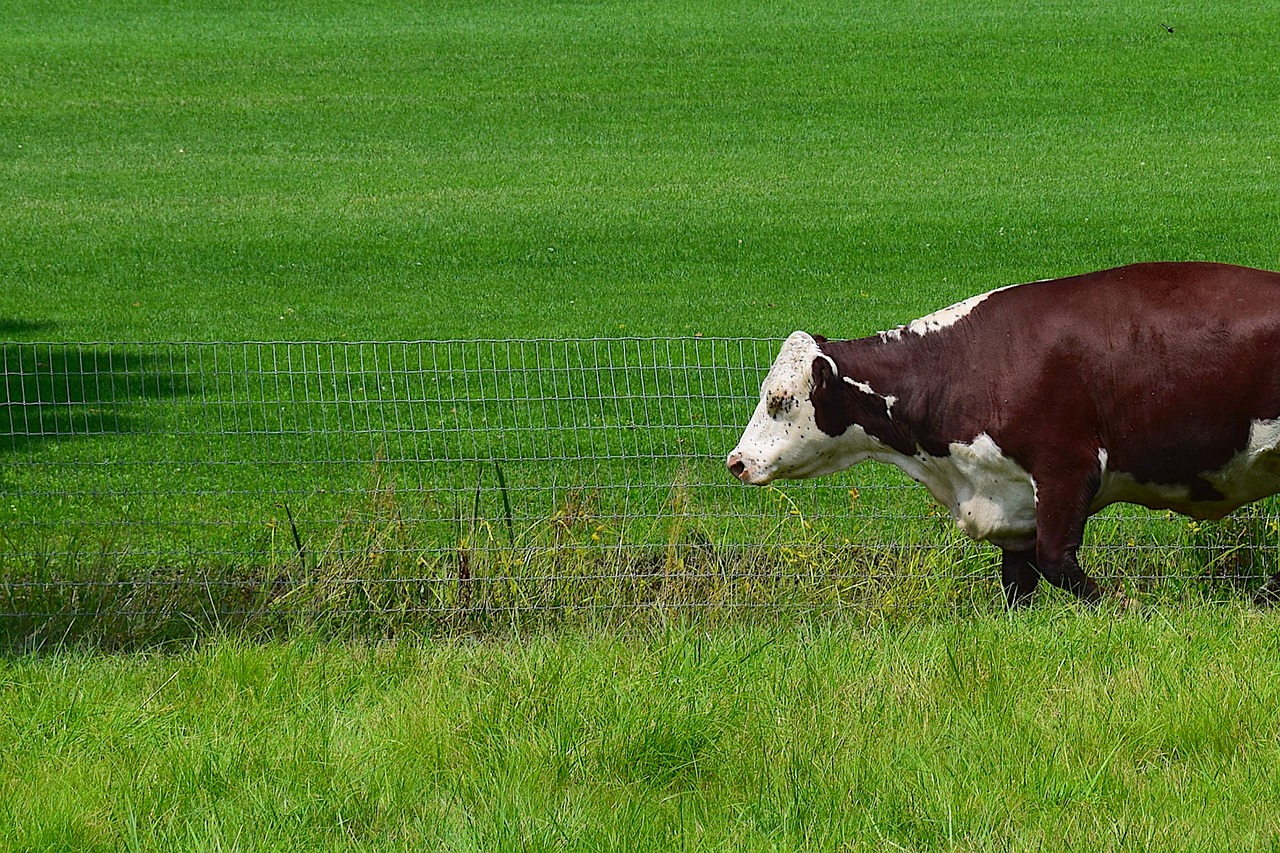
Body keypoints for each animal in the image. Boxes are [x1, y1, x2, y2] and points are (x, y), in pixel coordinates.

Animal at [732, 258, 1280, 604]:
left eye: (778, 400)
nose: (736, 461)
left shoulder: (1066, 467)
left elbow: (1058, 562)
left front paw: (1127, 608)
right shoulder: (1010, 502)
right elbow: (1017, 583)